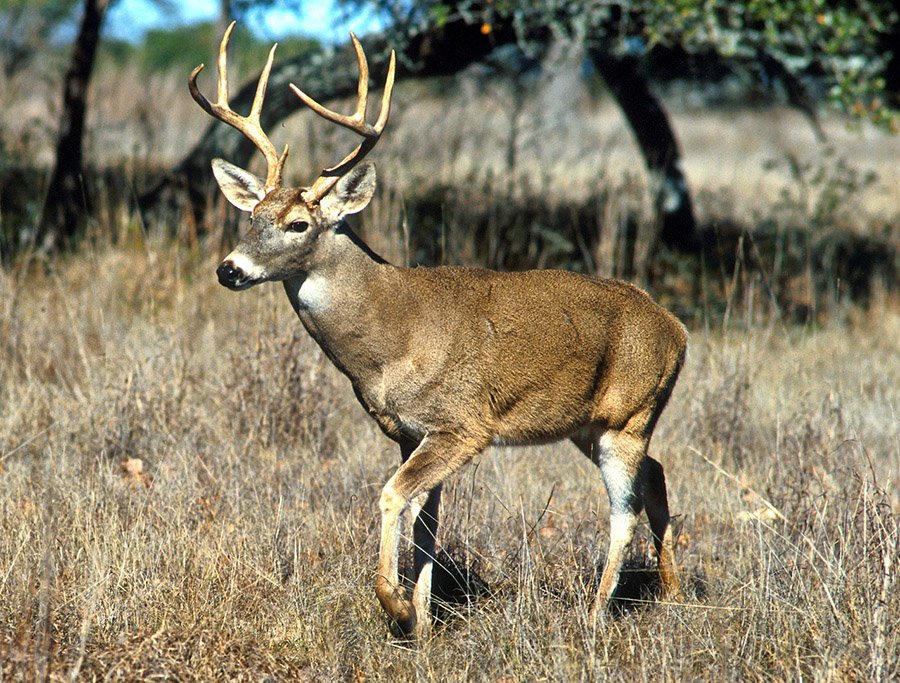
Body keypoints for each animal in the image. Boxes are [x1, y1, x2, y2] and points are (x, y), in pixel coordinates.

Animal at [191, 22, 688, 640]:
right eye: (251, 217)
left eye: (298, 223)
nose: (229, 269)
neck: (390, 338)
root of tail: (678, 330)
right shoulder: (410, 431)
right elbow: (426, 522)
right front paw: (424, 623)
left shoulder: (462, 424)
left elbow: (392, 497)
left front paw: (398, 606)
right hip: (591, 424)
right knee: (657, 475)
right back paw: (673, 595)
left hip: (628, 415)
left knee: (625, 509)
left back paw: (594, 617)